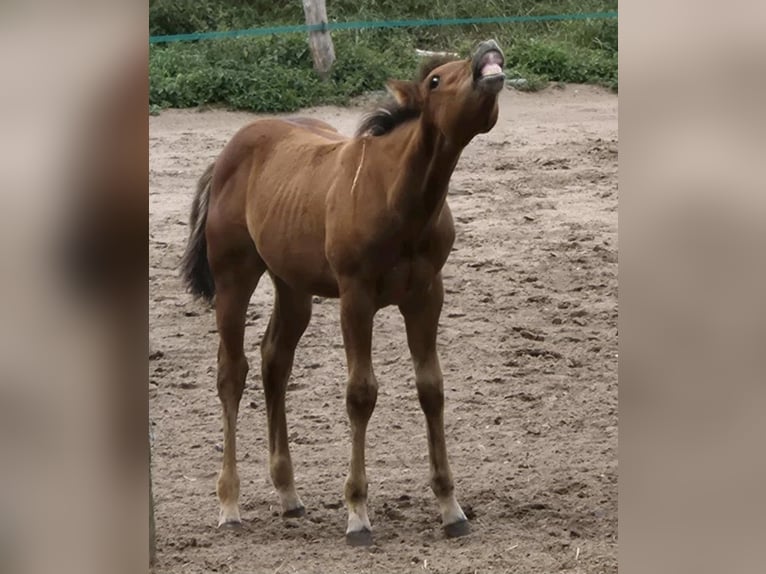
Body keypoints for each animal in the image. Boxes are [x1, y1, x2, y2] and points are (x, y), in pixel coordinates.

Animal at [180, 39, 505, 546]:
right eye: (435, 80)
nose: (486, 50)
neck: (398, 197)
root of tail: (226, 155)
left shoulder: (426, 295)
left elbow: (431, 389)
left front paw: (450, 508)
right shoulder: (356, 298)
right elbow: (360, 393)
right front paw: (357, 514)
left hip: (292, 286)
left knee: (275, 361)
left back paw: (288, 494)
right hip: (234, 279)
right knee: (232, 372)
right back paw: (229, 503)